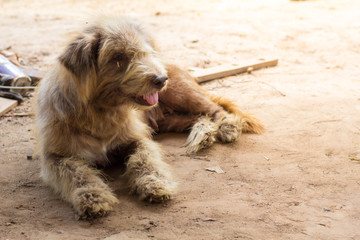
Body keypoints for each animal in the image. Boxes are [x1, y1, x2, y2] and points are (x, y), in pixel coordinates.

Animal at [35, 16, 262, 219]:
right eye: (118, 58)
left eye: (145, 53)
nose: (161, 79)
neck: (101, 113)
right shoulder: (55, 157)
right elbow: (76, 173)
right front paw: (93, 197)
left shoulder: (138, 139)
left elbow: (145, 159)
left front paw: (155, 184)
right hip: (171, 119)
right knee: (199, 116)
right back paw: (204, 134)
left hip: (182, 94)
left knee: (215, 109)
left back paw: (226, 127)